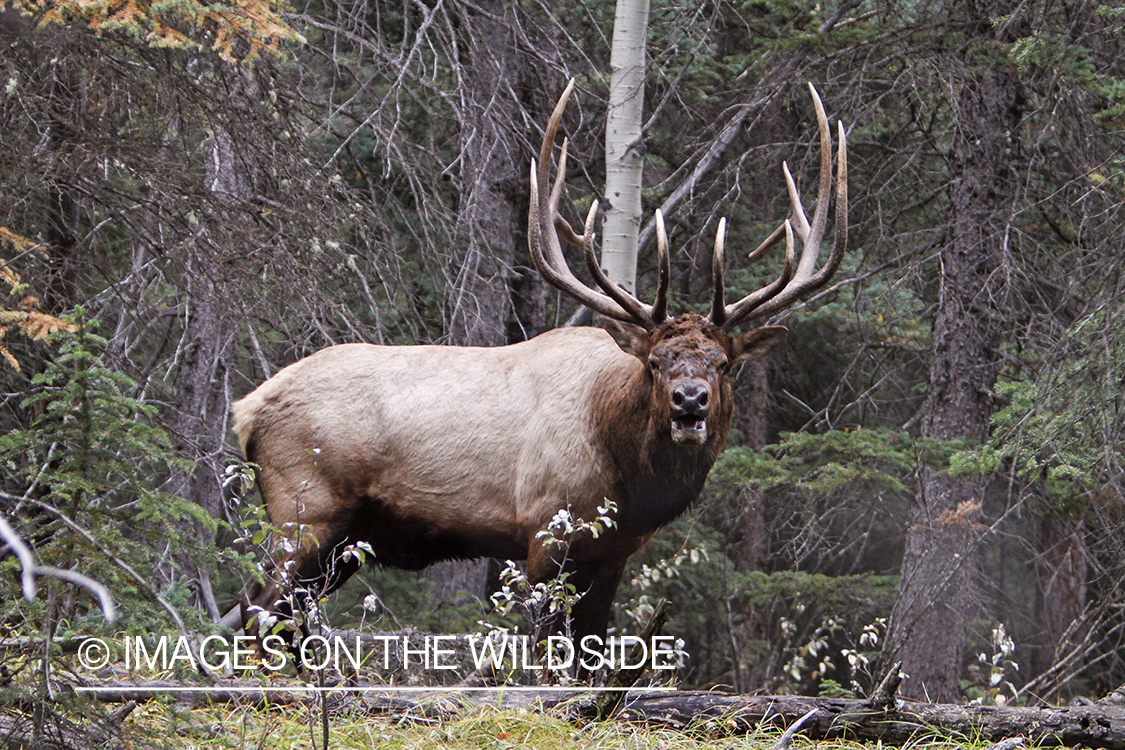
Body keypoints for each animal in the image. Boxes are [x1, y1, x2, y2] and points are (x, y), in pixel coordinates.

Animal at [232, 80, 846, 670]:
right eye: (654, 363)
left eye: (722, 363)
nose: (689, 400)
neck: (625, 466)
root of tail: (247, 409)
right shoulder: (545, 533)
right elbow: (550, 658)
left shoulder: (611, 554)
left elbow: (590, 658)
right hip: (304, 511)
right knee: (257, 614)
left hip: (344, 541)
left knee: (283, 620)